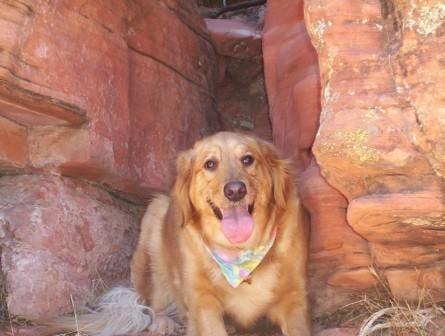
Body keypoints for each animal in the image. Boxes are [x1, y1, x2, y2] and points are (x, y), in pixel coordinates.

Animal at [44, 131, 308, 336]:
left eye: (248, 159)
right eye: (210, 164)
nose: (235, 191)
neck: (239, 252)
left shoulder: (294, 299)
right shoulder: (203, 302)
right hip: (155, 219)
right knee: (152, 304)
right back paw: (163, 322)